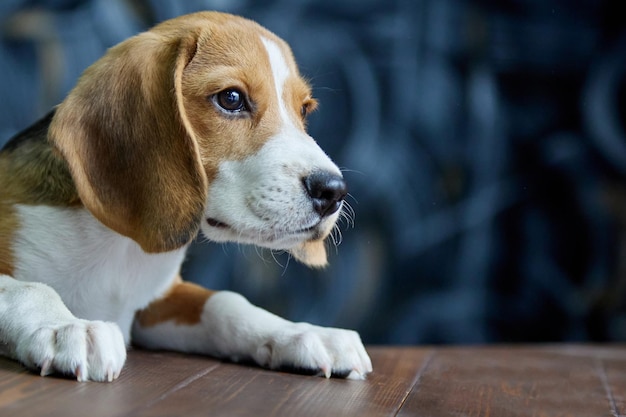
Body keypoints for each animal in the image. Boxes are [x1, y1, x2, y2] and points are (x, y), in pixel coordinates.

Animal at [0, 10, 370, 380]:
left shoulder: (158, 303)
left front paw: (302, 332)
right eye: (231, 99)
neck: (115, 245)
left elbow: (225, 301)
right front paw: (67, 327)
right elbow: (27, 288)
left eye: (305, 110)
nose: (334, 191)